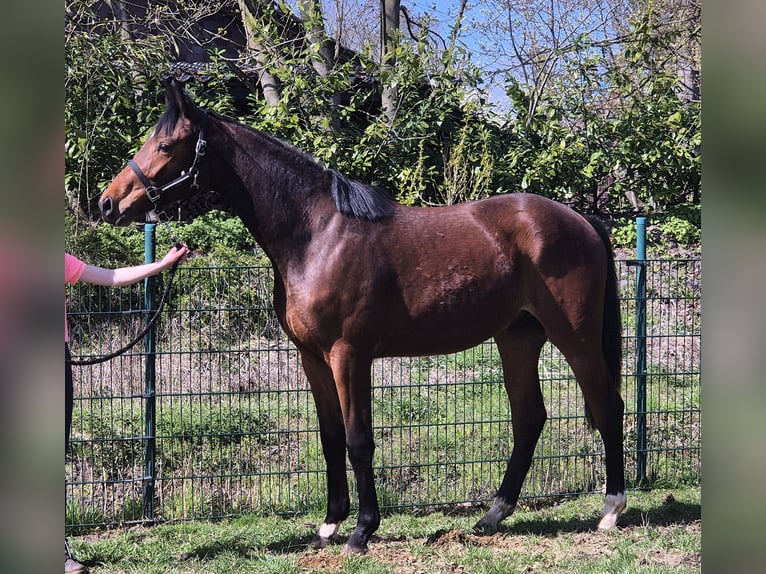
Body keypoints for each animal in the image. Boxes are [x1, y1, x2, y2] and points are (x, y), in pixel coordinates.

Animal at [99, 79, 626, 554]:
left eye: (166, 144)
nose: (108, 202)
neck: (317, 235)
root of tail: (582, 220)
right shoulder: (313, 358)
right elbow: (331, 437)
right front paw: (330, 525)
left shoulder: (348, 356)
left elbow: (358, 441)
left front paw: (362, 531)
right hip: (517, 337)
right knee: (529, 417)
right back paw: (493, 514)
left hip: (574, 336)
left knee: (607, 406)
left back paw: (610, 509)